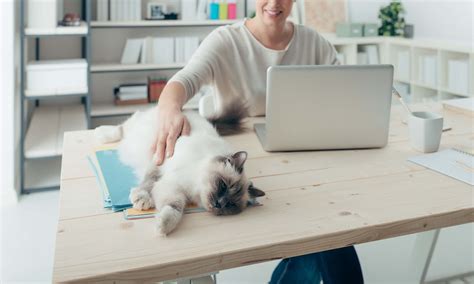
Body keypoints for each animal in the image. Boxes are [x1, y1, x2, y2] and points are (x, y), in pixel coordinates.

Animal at [94, 105, 264, 236]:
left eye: (230, 205)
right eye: (223, 185)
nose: (219, 204)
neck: (194, 190)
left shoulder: (171, 188)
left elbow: (174, 208)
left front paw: (163, 226)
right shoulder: (163, 169)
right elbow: (149, 184)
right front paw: (143, 200)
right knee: (121, 129)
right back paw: (101, 133)